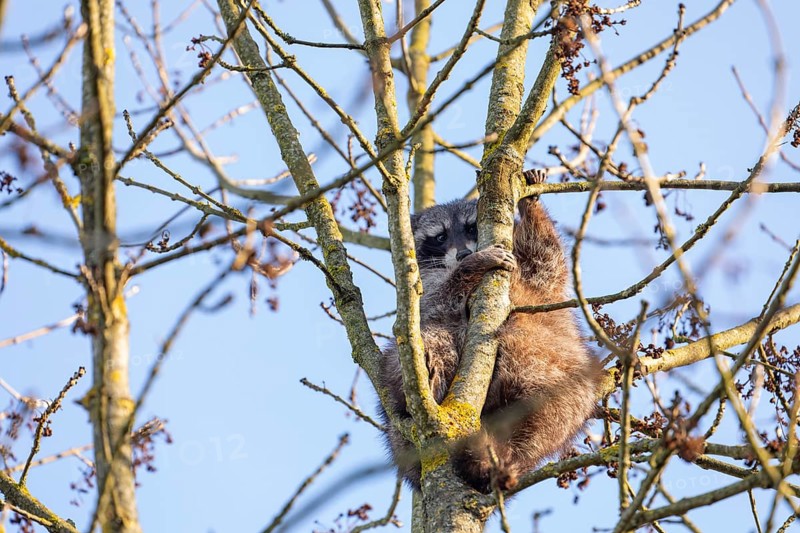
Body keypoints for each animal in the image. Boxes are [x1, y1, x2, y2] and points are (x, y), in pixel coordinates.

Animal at [378, 169, 603, 493]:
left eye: (472, 228)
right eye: (441, 237)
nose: (462, 254)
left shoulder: (536, 280)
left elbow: (548, 260)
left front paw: (531, 203)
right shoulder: (419, 291)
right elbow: (433, 307)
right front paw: (469, 268)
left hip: (562, 387)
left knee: (556, 409)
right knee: (419, 346)